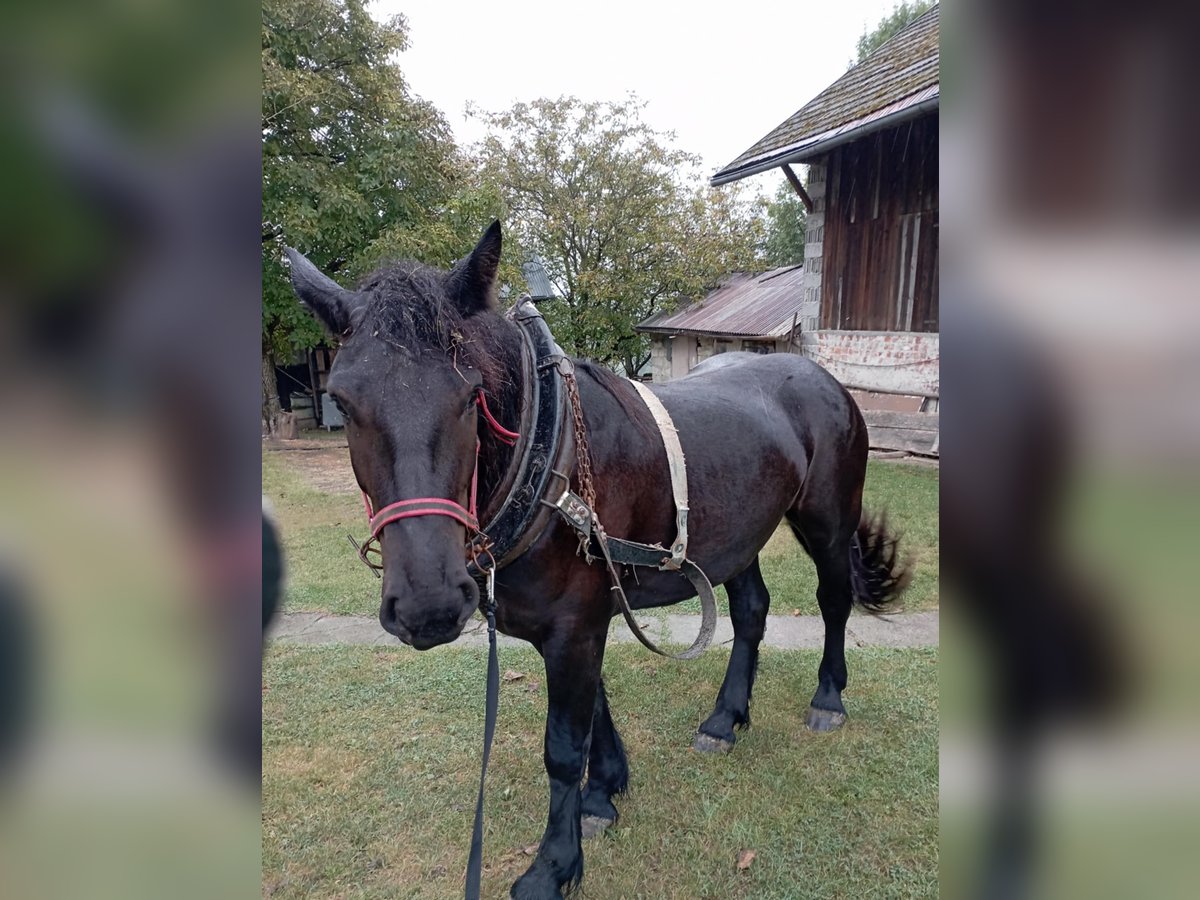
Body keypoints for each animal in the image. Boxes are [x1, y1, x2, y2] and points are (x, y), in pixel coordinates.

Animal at [288, 220, 907, 900]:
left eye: (471, 394)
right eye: (343, 402)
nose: (429, 605)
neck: (548, 456)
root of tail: (823, 378)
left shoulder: (574, 625)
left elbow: (563, 744)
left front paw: (554, 863)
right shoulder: (584, 616)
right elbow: (594, 713)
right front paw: (604, 792)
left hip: (828, 521)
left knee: (833, 600)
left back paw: (828, 699)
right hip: (735, 534)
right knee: (750, 610)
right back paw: (724, 719)